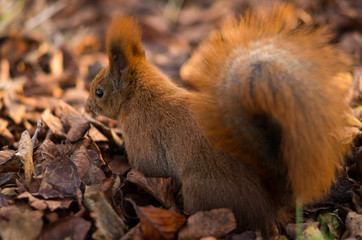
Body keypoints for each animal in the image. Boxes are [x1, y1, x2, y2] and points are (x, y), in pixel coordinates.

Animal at [86, 3, 352, 236]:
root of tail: (269, 206)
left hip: (199, 187)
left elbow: (147, 168)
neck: (140, 97)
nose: (87, 107)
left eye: (99, 92)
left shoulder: (144, 142)